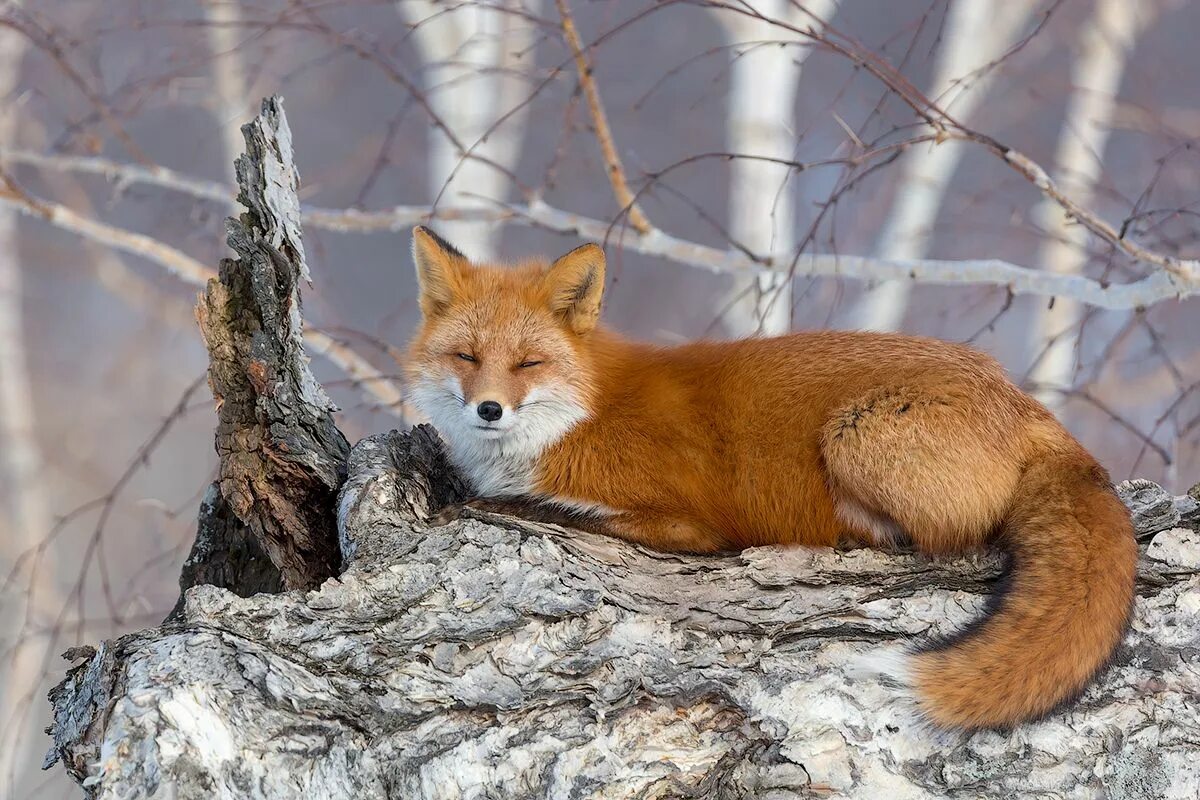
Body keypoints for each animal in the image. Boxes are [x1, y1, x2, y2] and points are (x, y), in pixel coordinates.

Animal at [403, 225, 1132, 734]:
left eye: (527, 363)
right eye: (466, 356)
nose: (488, 409)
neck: (581, 415)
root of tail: (1022, 400)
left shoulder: (682, 523)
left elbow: (545, 509)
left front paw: (485, 505)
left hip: (854, 436)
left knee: (947, 536)